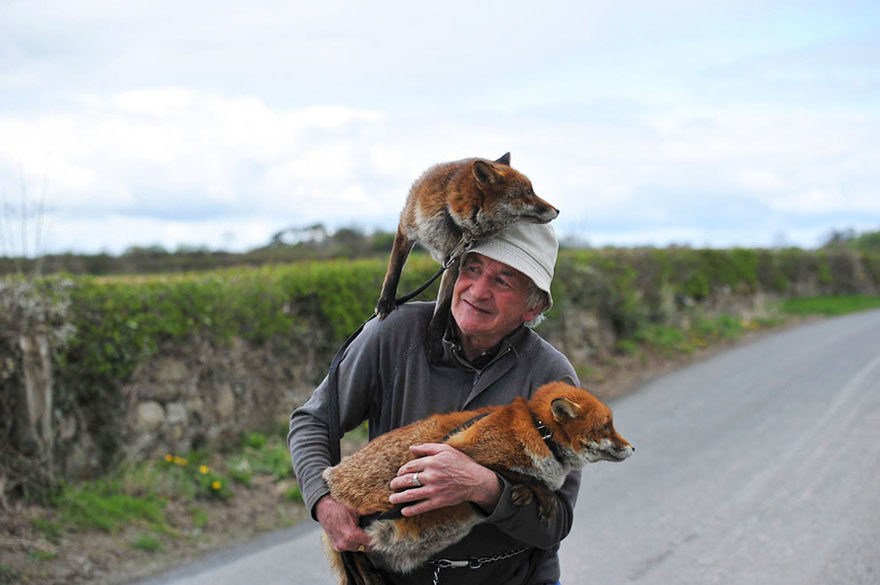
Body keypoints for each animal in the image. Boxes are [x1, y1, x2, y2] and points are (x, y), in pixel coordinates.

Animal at [324, 380, 632, 580]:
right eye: (606, 427)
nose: (633, 448)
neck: (537, 430)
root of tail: (331, 478)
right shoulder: (462, 452)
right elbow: (519, 477)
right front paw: (535, 494)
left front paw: (525, 493)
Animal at [376, 153, 556, 354]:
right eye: (528, 193)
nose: (557, 210)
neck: (453, 220)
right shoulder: (406, 229)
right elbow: (393, 271)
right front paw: (385, 301)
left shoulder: (454, 260)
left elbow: (443, 307)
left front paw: (434, 339)